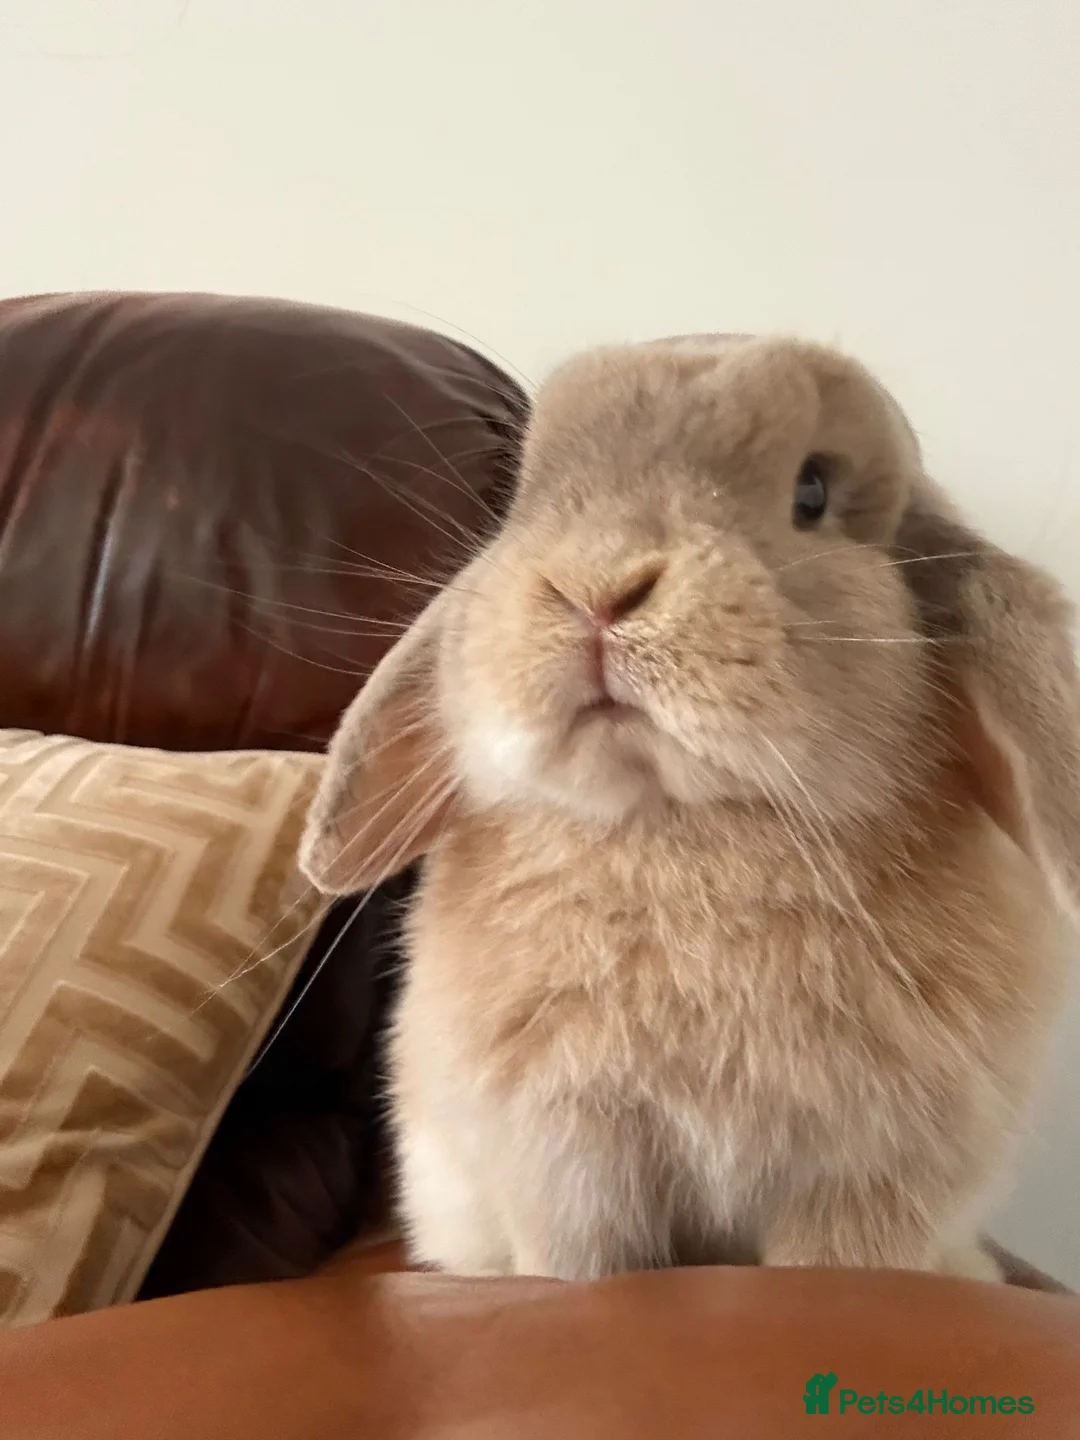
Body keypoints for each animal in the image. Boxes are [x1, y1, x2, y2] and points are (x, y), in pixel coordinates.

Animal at [299, 335, 1080, 1284]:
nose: (593, 588)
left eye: (812, 491)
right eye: (529, 497)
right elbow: (578, 1269)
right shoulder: (572, 1160)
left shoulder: (869, 1183)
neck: (678, 819)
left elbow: (837, 1269)